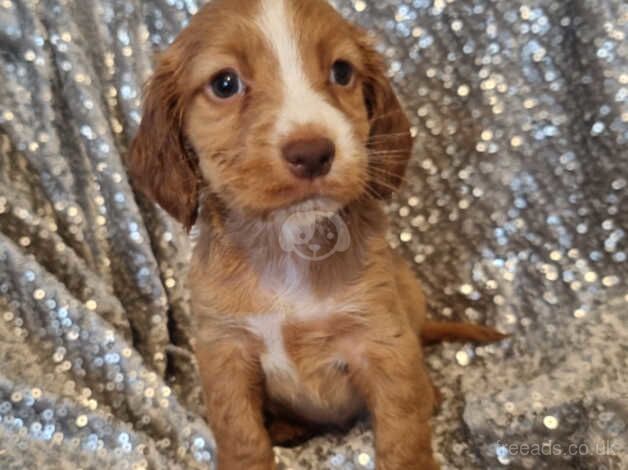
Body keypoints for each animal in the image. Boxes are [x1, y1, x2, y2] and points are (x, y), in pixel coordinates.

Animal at [127, 1, 506, 468]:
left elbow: (403, 431)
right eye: (224, 83)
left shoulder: (382, 341)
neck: (291, 242)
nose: (312, 153)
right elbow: (240, 434)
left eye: (342, 72)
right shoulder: (224, 350)